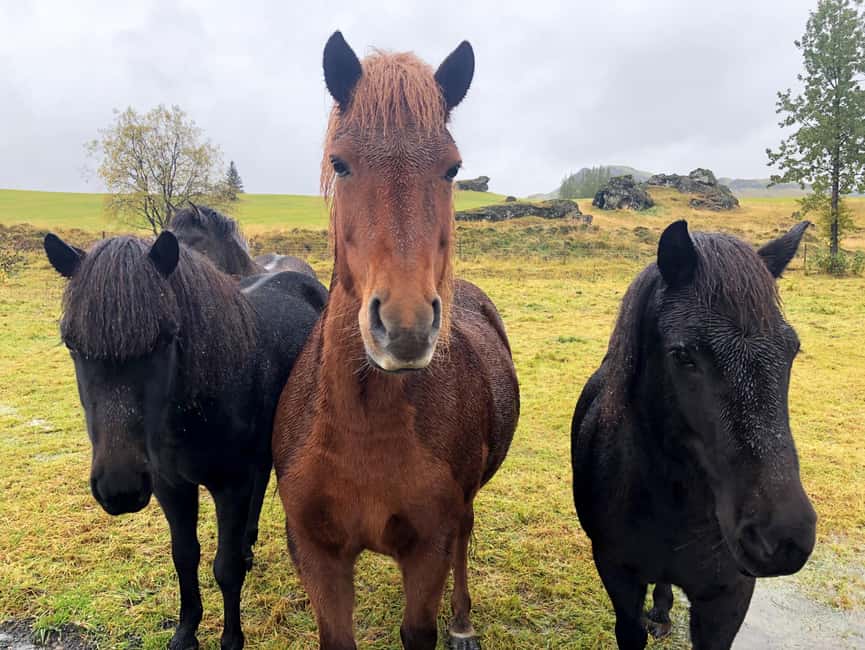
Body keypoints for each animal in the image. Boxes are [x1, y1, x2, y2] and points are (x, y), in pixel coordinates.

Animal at [43, 231, 328, 649]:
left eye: (165, 339)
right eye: (71, 344)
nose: (120, 489)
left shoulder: (230, 486)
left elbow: (224, 568)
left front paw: (231, 639)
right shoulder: (170, 486)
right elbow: (184, 556)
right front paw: (186, 631)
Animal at [271, 32, 519, 650]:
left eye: (452, 168)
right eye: (341, 162)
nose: (405, 328)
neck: (363, 426)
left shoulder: (428, 550)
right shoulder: (317, 554)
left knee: (466, 535)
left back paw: (463, 623)